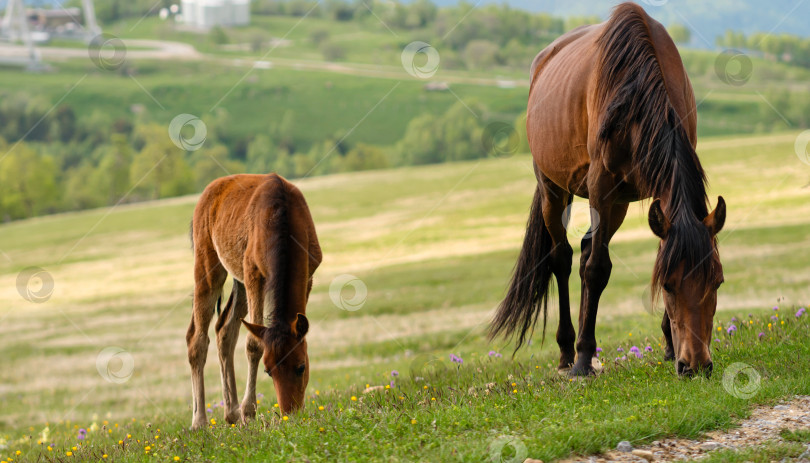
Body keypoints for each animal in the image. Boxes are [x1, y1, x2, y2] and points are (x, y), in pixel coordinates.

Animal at [185, 174, 318, 432]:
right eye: (268, 371)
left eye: (301, 367)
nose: (290, 413)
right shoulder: (254, 274)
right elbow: (253, 344)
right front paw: (249, 412)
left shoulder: (309, 273)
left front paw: (243, 412)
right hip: (209, 265)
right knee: (196, 339)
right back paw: (200, 422)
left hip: (238, 280)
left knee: (224, 330)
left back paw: (231, 414)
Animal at [490, 3, 724, 378]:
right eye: (668, 286)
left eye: (717, 282)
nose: (696, 364)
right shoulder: (600, 187)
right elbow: (597, 269)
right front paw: (584, 359)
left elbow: (654, 251)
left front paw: (668, 346)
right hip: (553, 189)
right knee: (563, 258)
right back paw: (568, 351)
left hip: (619, 203)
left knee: (586, 248)